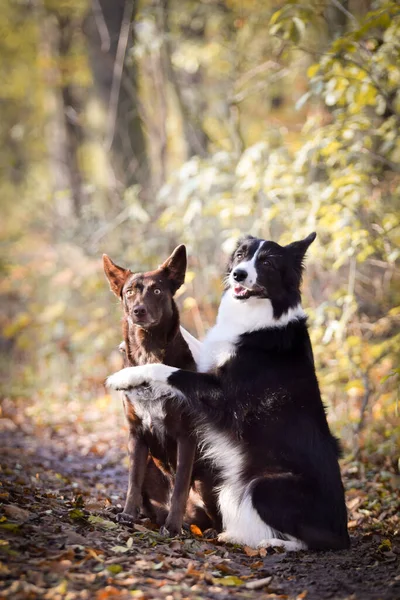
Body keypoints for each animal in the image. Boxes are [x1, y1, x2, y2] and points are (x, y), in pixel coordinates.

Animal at [101, 246, 217, 536]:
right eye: (130, 292)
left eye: (156, 290)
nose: (137, 311)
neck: (148, 355)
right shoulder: (136, 434)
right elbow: (132, 482)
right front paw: (127, 514)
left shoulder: (187, 437)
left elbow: (180, 488)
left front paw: (173, 527)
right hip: (152, 469)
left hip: (208, 479)